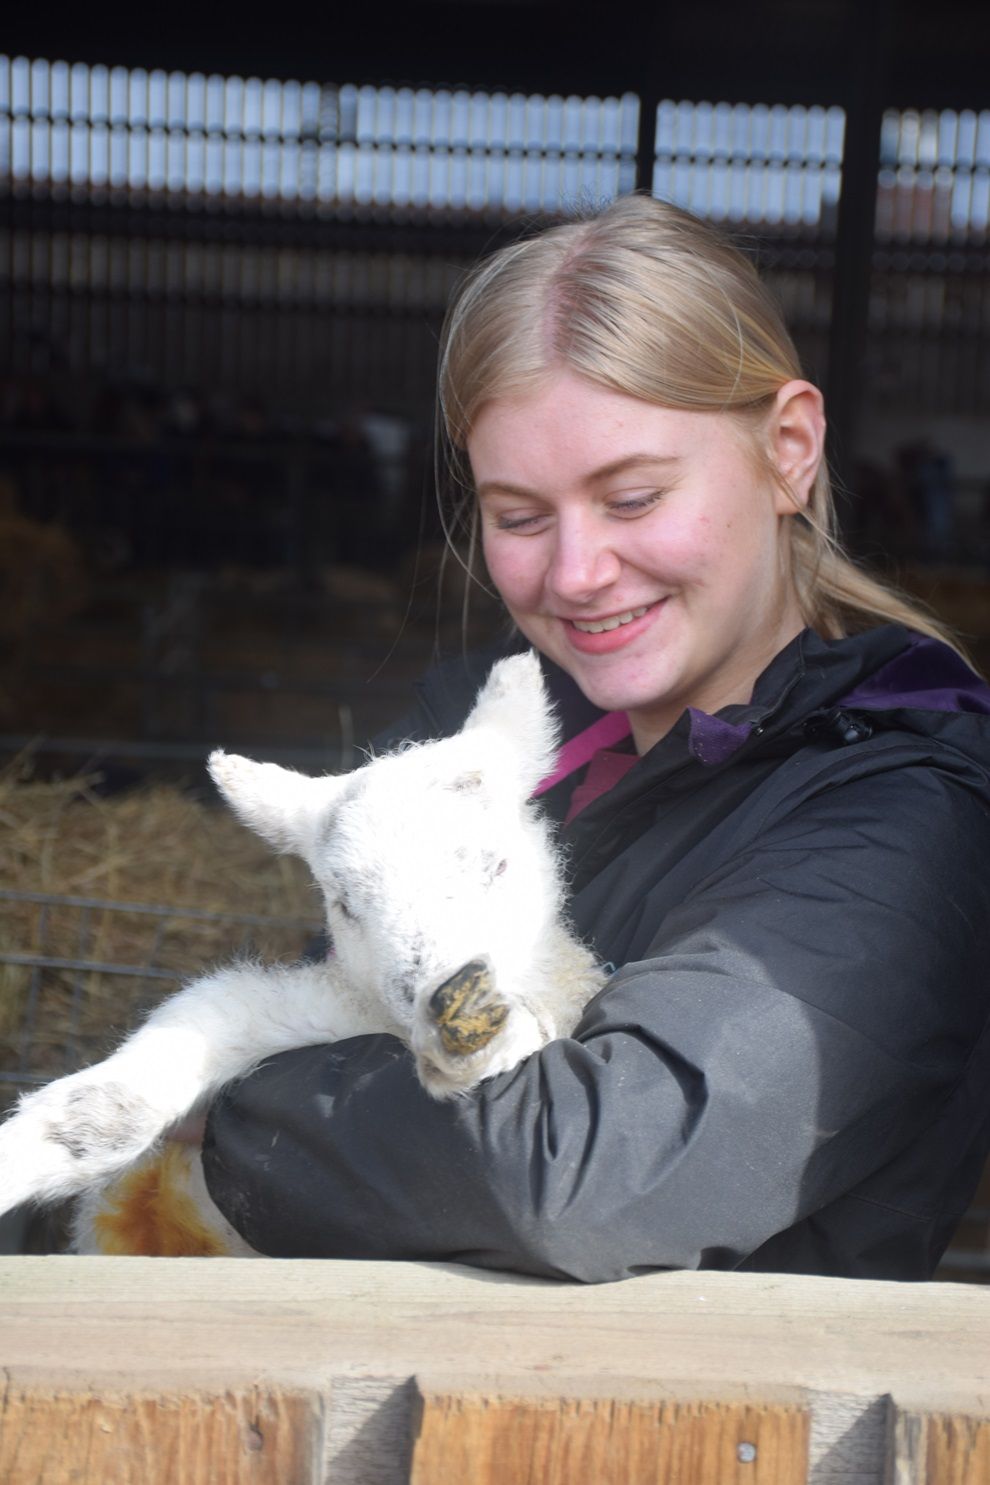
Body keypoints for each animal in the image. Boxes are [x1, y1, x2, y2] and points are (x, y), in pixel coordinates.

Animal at [0, 656, 605, 1247]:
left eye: (497, 866)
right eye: (343, 902)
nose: (442, 993)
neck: (384, 1023)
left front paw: (472, 1041)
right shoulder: (283, 1009)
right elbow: (111, 1107)